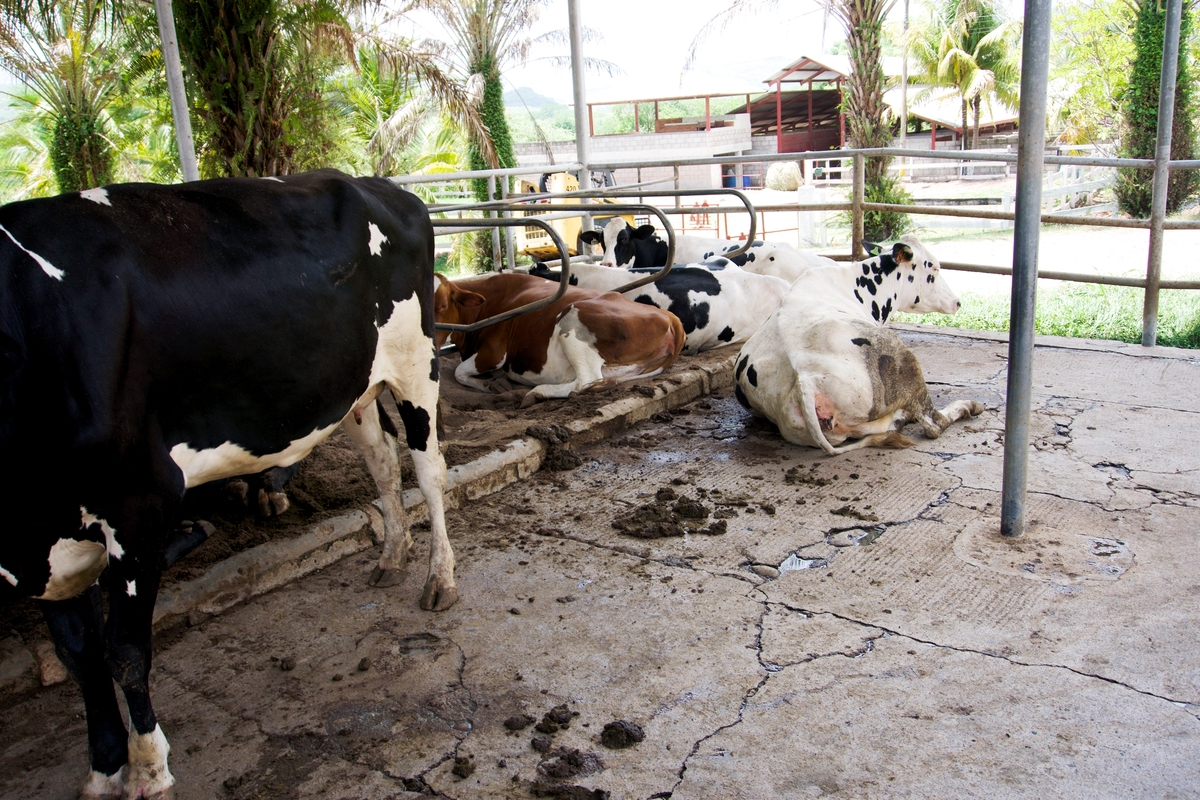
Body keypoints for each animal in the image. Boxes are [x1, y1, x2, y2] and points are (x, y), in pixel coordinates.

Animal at [0, 167, 453, 796]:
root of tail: (378, 184)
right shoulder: (45, 542)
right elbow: (79, 656)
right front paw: (104, 767)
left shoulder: (139, 504)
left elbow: (125, 651)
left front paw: (148, 768)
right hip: (352, 386)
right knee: (383, 461)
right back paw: (391, 555)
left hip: (415, 360)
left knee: (428, 470)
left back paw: (439, 578)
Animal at [439, 272, 686, 407]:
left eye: (441, 305)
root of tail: (669, 316)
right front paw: (496, 384)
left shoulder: (494, 352)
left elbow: (459, 372)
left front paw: (490, 385)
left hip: (572, 322)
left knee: (585, 380)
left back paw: (534, 393)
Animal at [729, 235, 984, 453]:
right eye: (934, 268)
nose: (957, 302)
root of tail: (804, 378)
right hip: (901, 356)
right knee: (933, 424)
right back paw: (966, 406)